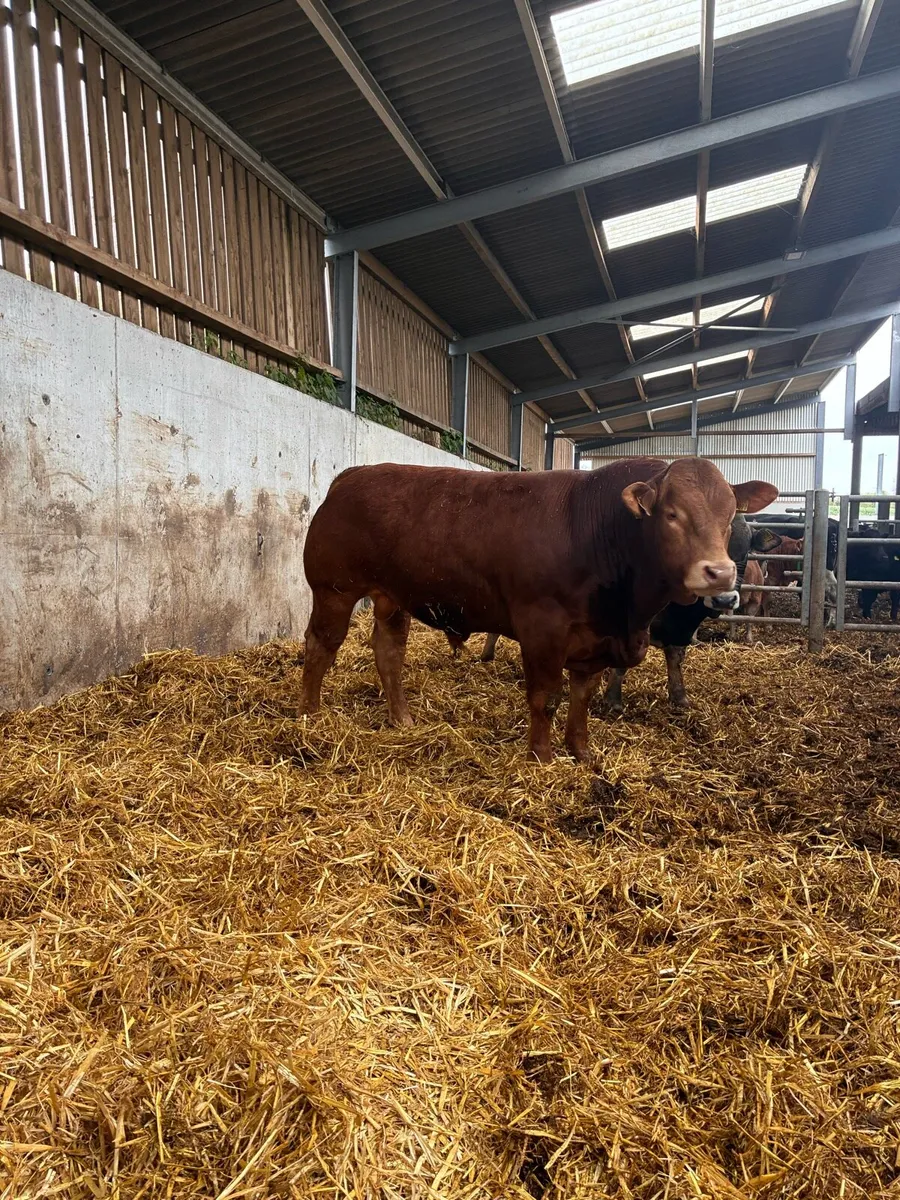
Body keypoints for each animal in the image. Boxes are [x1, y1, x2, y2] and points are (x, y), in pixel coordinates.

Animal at [300, 458, 777, 761]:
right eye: (672, 514)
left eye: (730, 516)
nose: (720, 574)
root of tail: (353, 475)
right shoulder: (543, 629)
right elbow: (546, 697)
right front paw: (543, 757)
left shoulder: (595, 639)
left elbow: (582, 697)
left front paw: (582, 752)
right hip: (334, 589)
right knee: (320, 646)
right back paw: (310, 715)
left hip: (392, 596)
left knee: (389, 653)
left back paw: (402, 719)